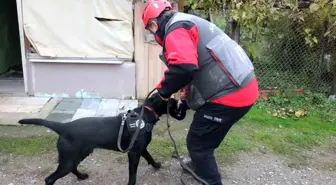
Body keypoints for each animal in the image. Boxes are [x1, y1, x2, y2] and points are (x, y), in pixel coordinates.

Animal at [18, 94, 181, 185]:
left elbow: (150, 158)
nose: (177, 101)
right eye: (171, 101)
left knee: (73, 168)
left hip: (77, 155)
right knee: (50, 179)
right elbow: (133, 174)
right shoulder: (134, 153)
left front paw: (157, 165)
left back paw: (82, 176)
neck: (146, 115)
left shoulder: (141, 149)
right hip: (69, 158)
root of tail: (64, 126)